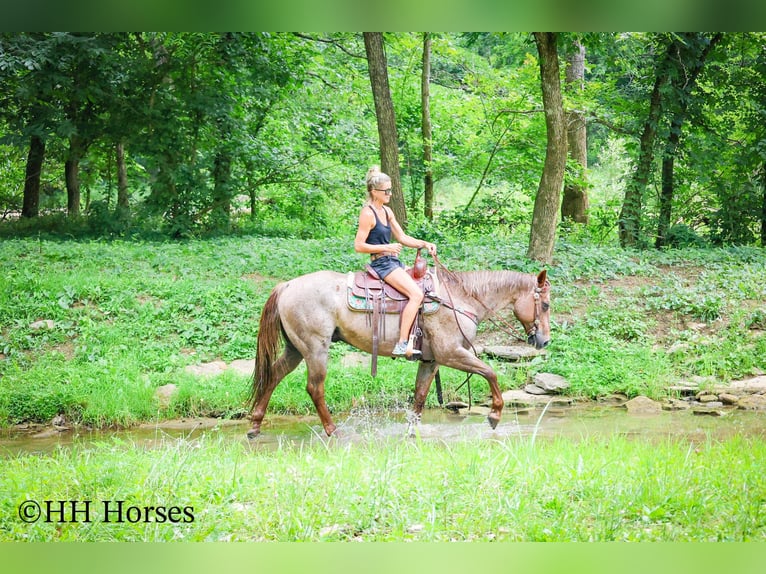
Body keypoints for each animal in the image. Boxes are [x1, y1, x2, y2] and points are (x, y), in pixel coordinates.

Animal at [247, 264, 551, 438]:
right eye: (546, 305)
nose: (545, 341)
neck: (460, 299)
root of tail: (287, 285)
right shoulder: (451, 353)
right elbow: (490, 372)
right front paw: (494, 415)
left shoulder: (431, 360)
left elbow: (420, 396)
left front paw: (411, 432)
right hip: (315, 349)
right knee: (314, 388)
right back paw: (333, 431)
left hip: (295, 349)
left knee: (273, 375)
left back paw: (254, 426)